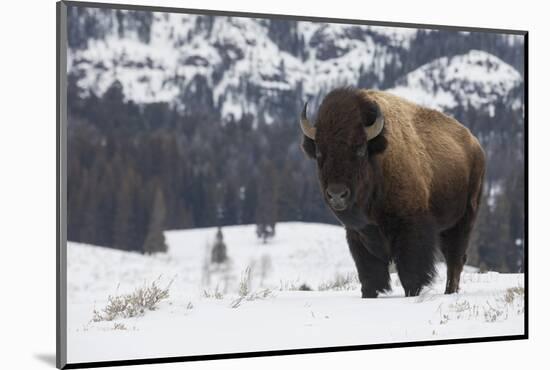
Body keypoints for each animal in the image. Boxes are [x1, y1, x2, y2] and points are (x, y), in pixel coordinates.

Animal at [302, 89, 488, 298]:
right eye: (319, 152)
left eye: (360, 149)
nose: (336, 194)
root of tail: (476, 146)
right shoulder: (359, 234)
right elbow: (370, 274)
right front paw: (369, 294)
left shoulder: (411, 228)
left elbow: (411, 272)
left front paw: (412, 293)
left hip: (464, 218)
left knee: (455, 259)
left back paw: (450, 292)